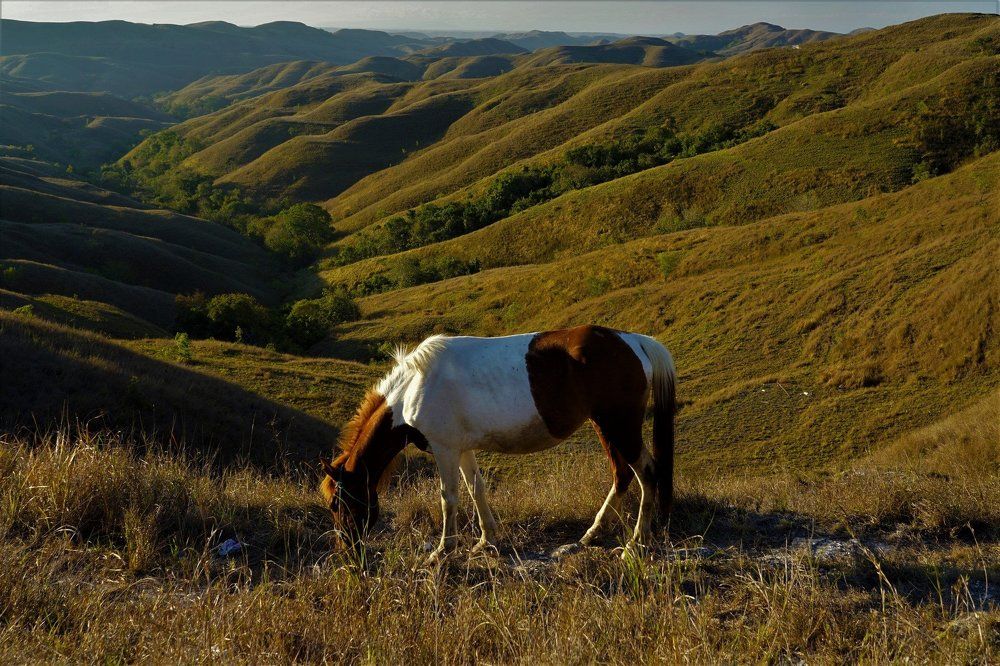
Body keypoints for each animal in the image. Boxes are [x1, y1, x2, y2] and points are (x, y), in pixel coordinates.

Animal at [320, 324, 676, 563]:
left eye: (338, 503)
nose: (345, 550)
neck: (414, 387)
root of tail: (634, 341)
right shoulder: (463, 449)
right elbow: (476, 489)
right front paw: (486, 540)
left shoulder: (445, 449)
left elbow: (448, 498)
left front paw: (443, 549)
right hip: (606, 426)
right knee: (622, 475)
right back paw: (592, 534)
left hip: (620, 426)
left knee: (645, 472)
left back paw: (636, 542)